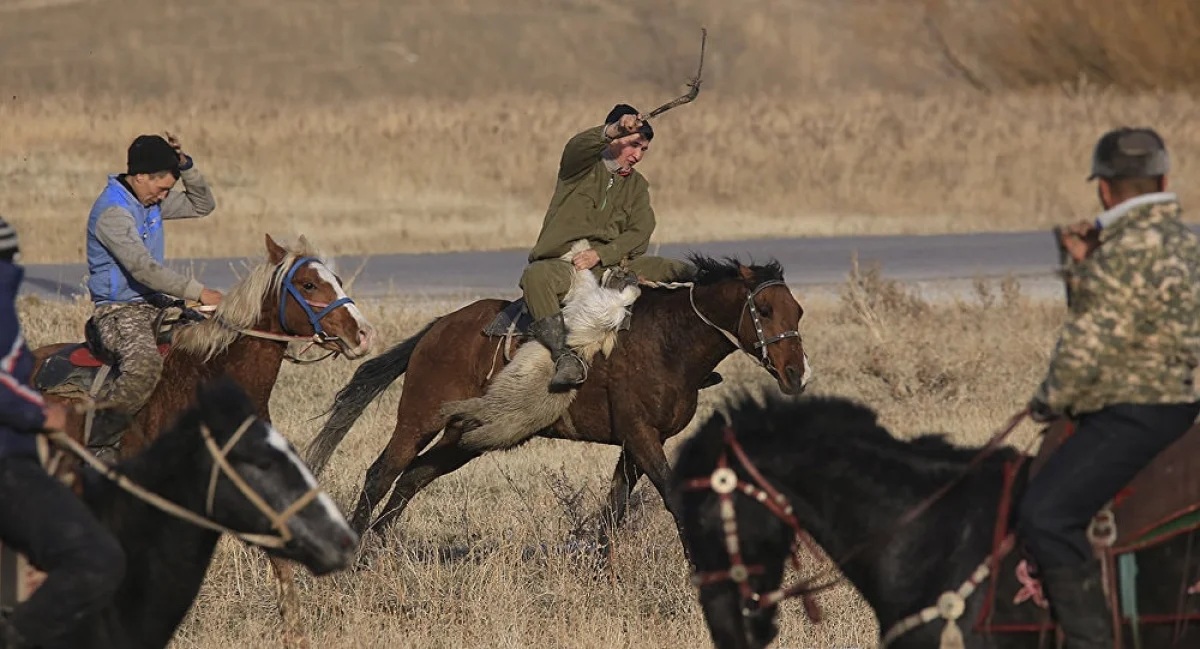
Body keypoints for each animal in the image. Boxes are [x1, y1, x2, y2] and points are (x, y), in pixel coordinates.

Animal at [302, 253, 816, 551]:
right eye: (764, 309)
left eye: (798, 310)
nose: (797, 373)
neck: (669, 341)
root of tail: (437, 329)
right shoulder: (641, 435)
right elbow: (669, 496)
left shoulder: (635, 445)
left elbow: (614, 507)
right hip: (419, 418)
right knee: (382, 473)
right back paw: (356, 548)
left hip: (466, 434)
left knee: (413, 477)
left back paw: (378, 545)